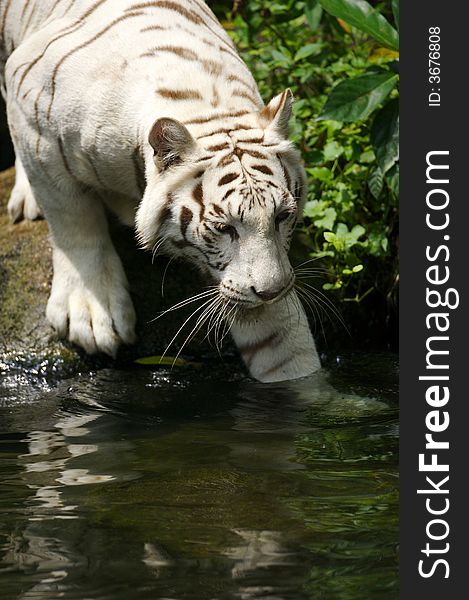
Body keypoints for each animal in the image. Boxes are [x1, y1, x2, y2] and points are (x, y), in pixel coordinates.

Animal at [0, 0, 320, 382]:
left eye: (283, 216)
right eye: (223, 227)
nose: (271, 291)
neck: (205, 104)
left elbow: (284, 346)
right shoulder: (38, 126)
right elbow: (73, 221)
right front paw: (92, 314)